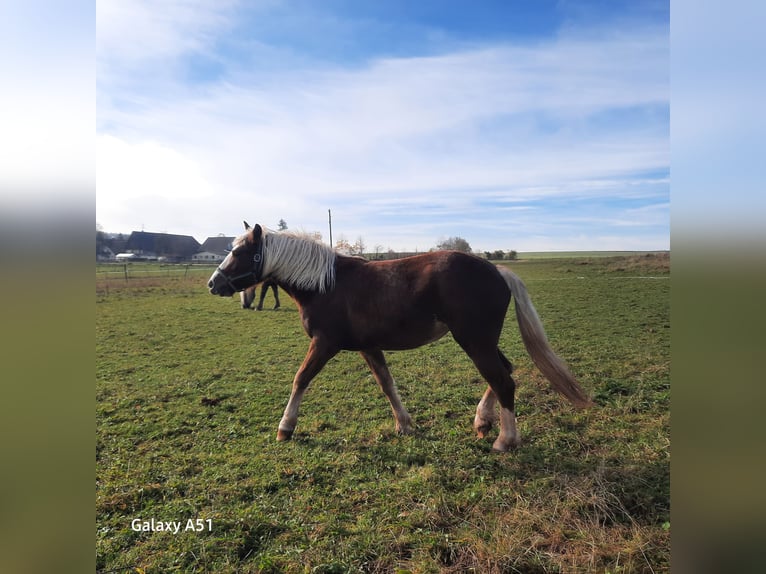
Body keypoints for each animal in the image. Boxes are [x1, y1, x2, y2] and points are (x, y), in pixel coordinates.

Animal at [208, 222, 593, 452]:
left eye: (239, 252)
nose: (213, 284)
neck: (326, 285)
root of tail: (496, 270)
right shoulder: (368, 347)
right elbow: (387, 384)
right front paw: (405, 425)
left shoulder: (324, 344)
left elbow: (300, 379)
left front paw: (285, 427)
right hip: (482, 341)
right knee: (504, 373)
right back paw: (482, 421)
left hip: (474, 341)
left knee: (502, 380)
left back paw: (505, 440)